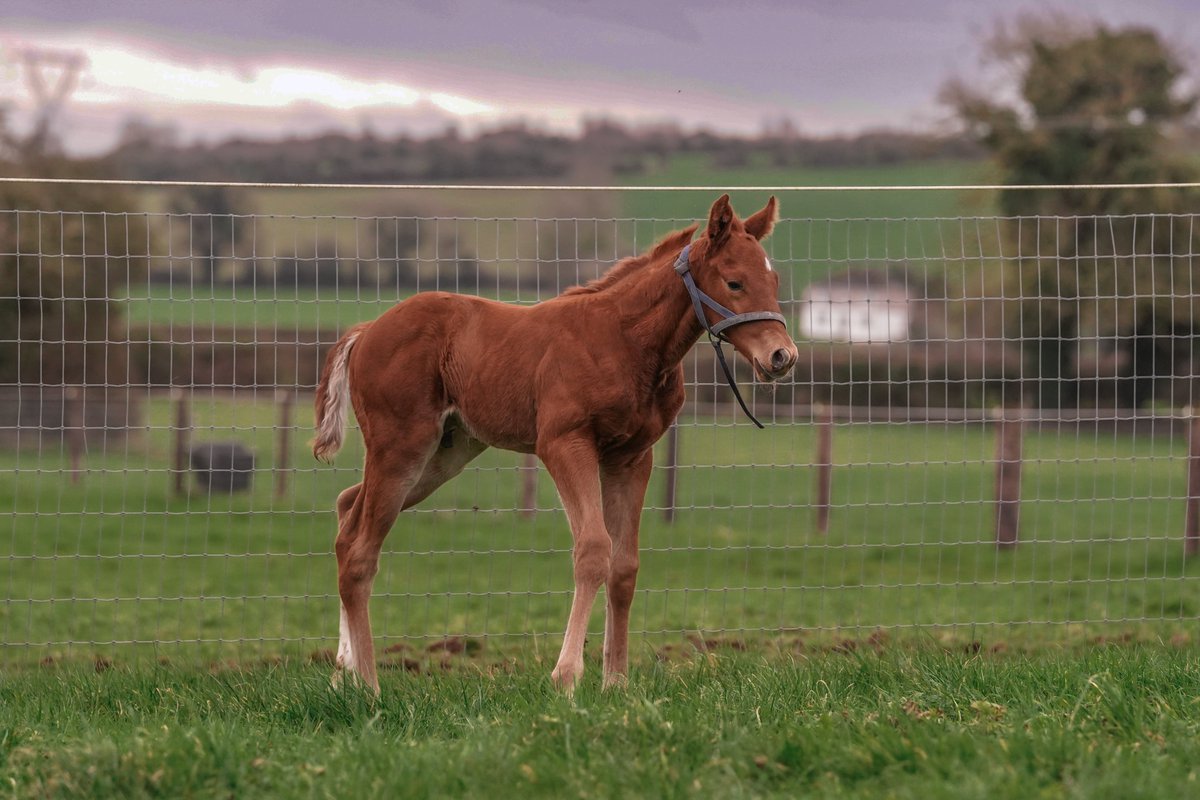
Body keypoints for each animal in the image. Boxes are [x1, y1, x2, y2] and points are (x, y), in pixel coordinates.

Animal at [314, 195, 796, 695]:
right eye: (734, 282)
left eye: (774, 281)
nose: (782, 356)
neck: (625, 340)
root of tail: (367, 330)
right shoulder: (565, 443)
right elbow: (593, 549)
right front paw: (567, 676)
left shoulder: (631, 457)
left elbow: (624, 566)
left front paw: (615, 682)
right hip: (401, 445)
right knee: (360, 550)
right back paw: (368, 685)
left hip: (446, 452)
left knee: (347, 511)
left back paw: (342, 673)